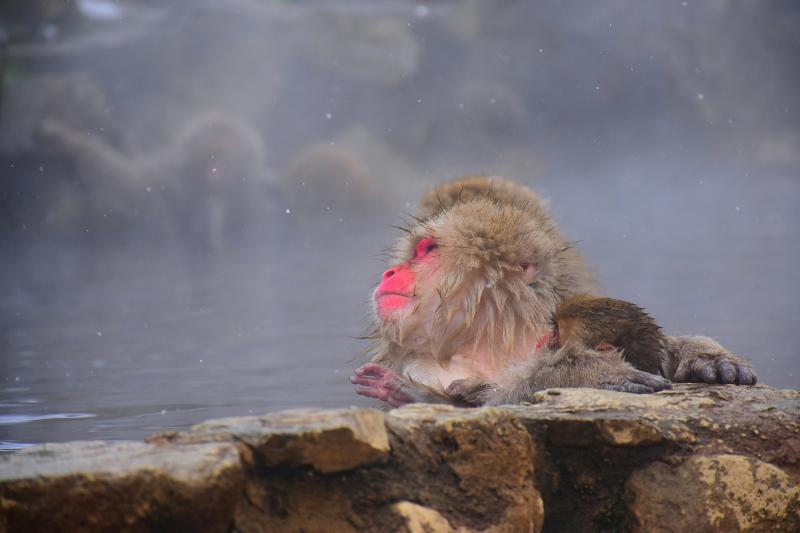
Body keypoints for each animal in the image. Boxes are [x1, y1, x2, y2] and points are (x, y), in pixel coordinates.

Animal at [350, 176, 757, 408]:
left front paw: (701, 355)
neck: (494, 340)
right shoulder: (422, 368)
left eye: (428, 250)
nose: (390, 272)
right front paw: (585, 375)